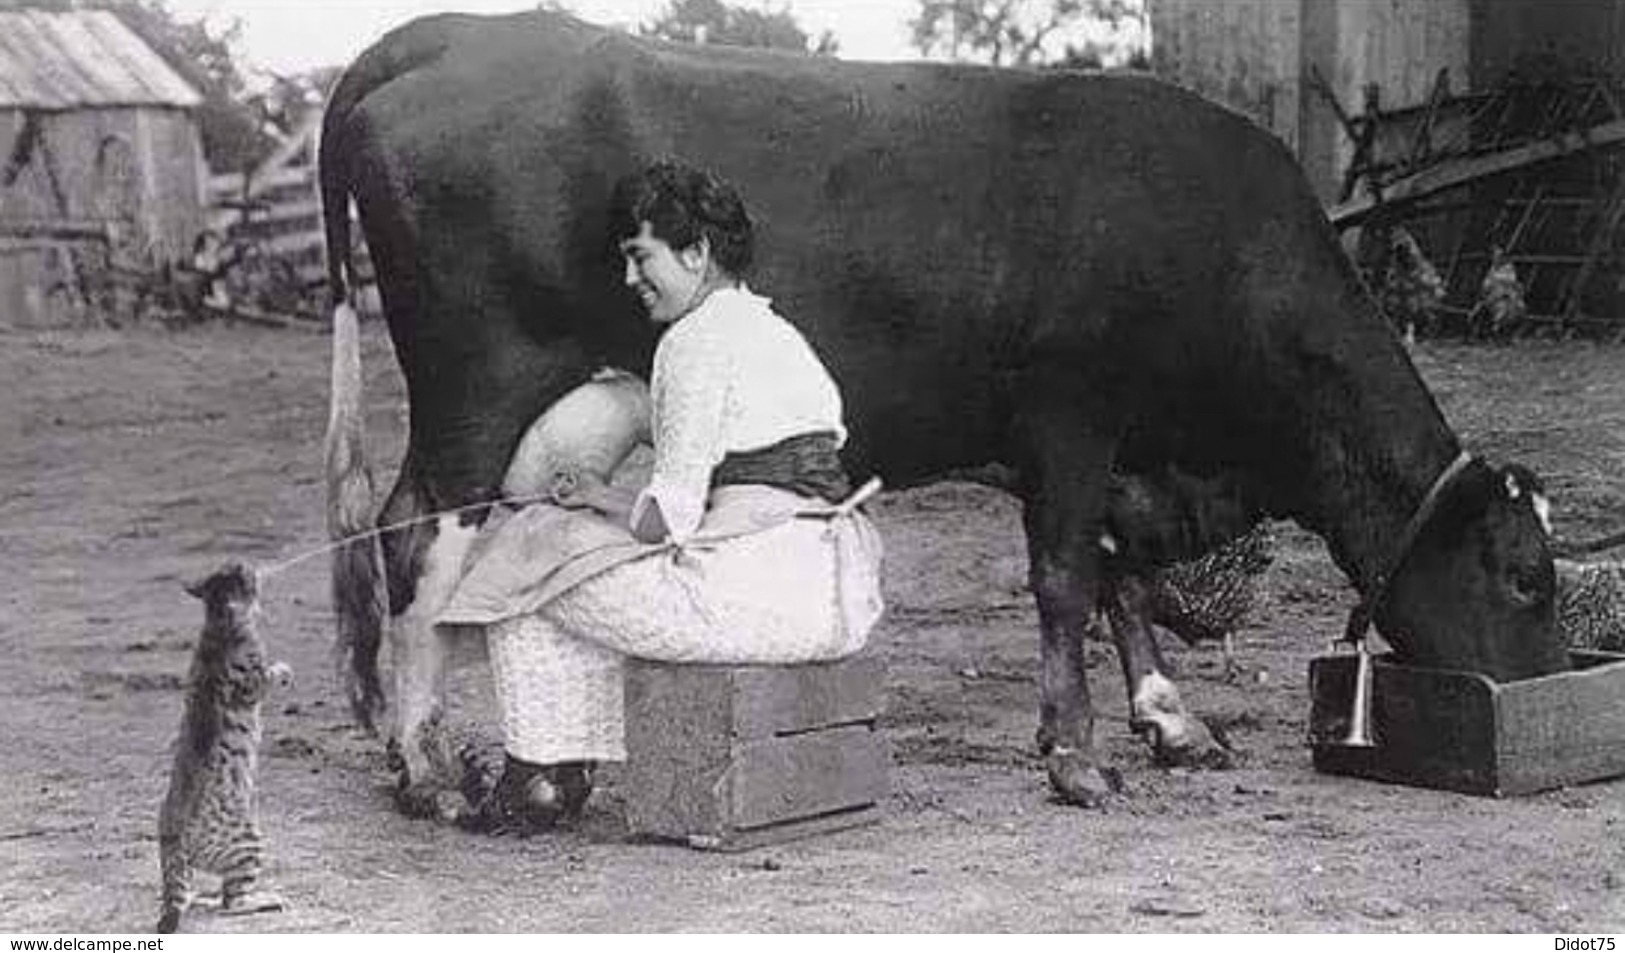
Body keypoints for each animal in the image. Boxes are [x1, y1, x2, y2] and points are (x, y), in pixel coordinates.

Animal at [158, 559, 292, 930]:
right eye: (242, 576)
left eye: (233, 567)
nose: (247, 564)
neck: (217, 625)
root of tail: (173, 842)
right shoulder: (253, 683)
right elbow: (267, 674)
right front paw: (283, 669)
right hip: (249, 839)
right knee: (232, 902)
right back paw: (266, 900)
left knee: (205, 895)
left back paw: (200, 897)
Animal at [316, 7, 1573, 813]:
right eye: (1523, 575)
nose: (1543, 693)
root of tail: (456, 34)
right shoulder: (1071, 408)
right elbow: (1065, 578)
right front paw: (1074, 758)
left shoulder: (1111, 447)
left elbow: (1116, 577)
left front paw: (1169, 721)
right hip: (478, 381)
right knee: (416, 534)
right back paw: (426, 767)